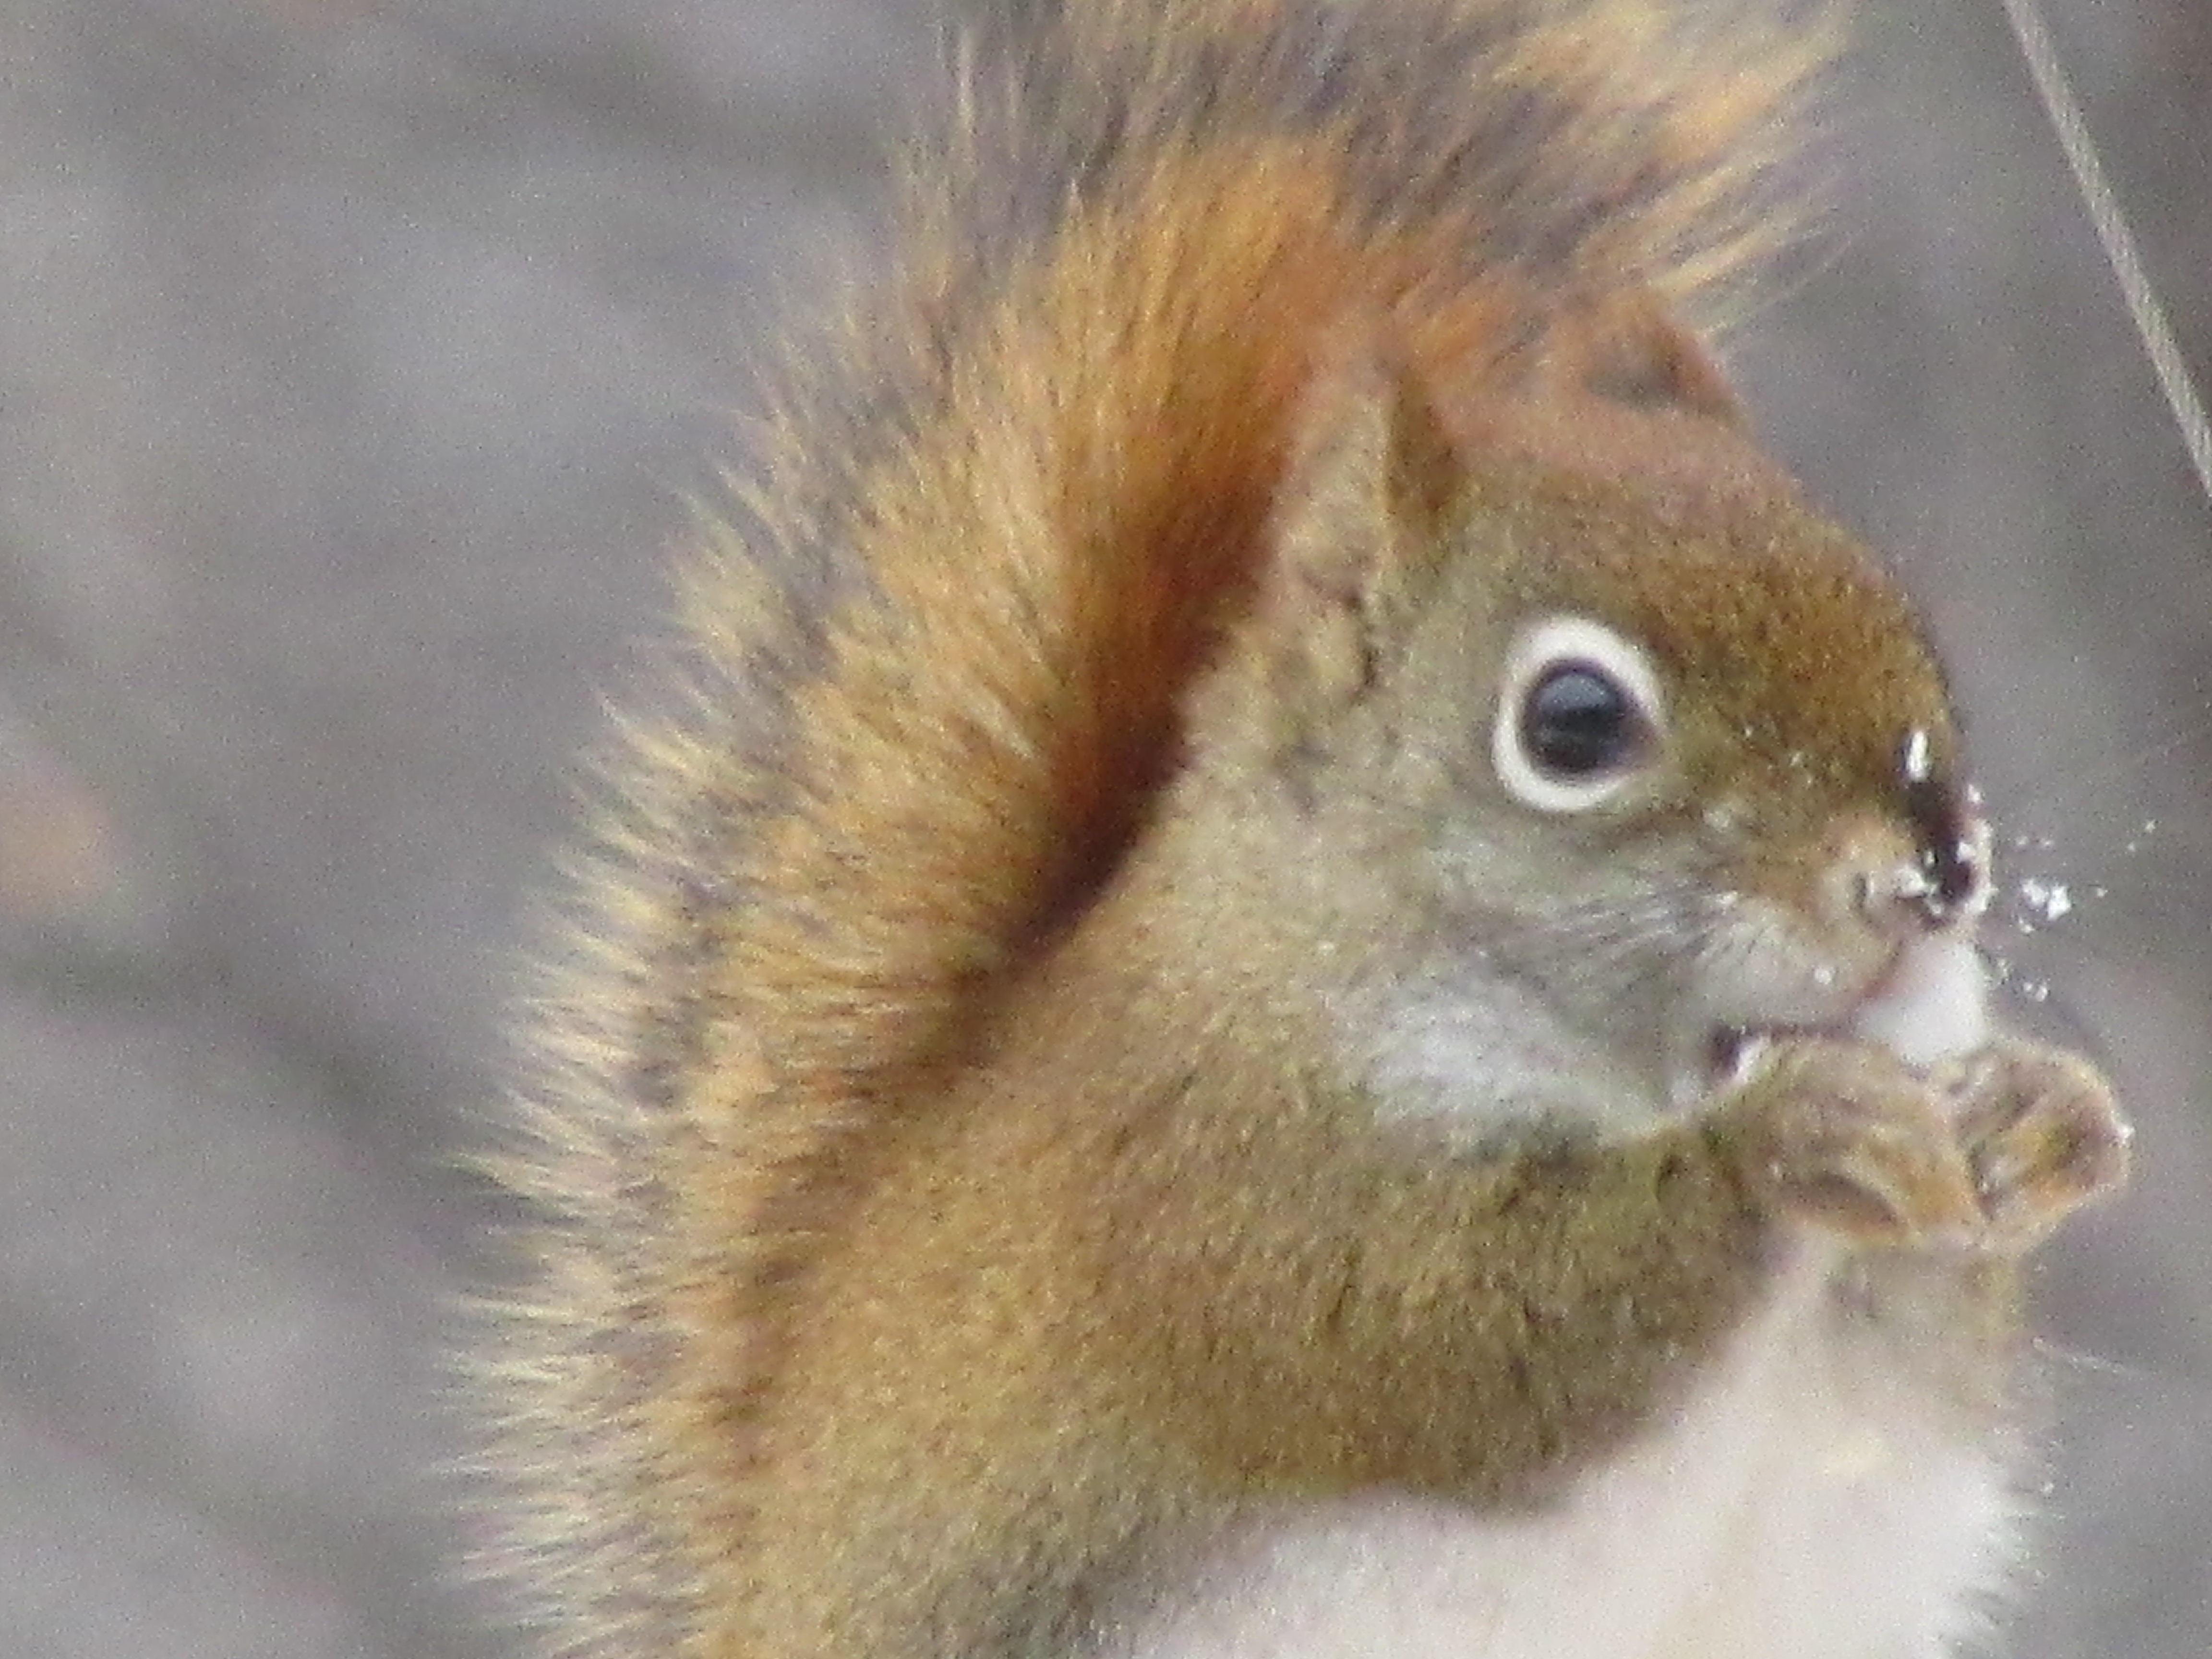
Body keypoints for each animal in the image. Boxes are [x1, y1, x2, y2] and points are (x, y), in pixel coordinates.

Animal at [473, 2, 2134, 1657]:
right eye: (1573, 725)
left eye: (1892, 605)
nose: (1935, 871)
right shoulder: (1224, 1184)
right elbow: (1459, 1333)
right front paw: (1796, 1134)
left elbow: (1923, 1333)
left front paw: (2040, 1117)